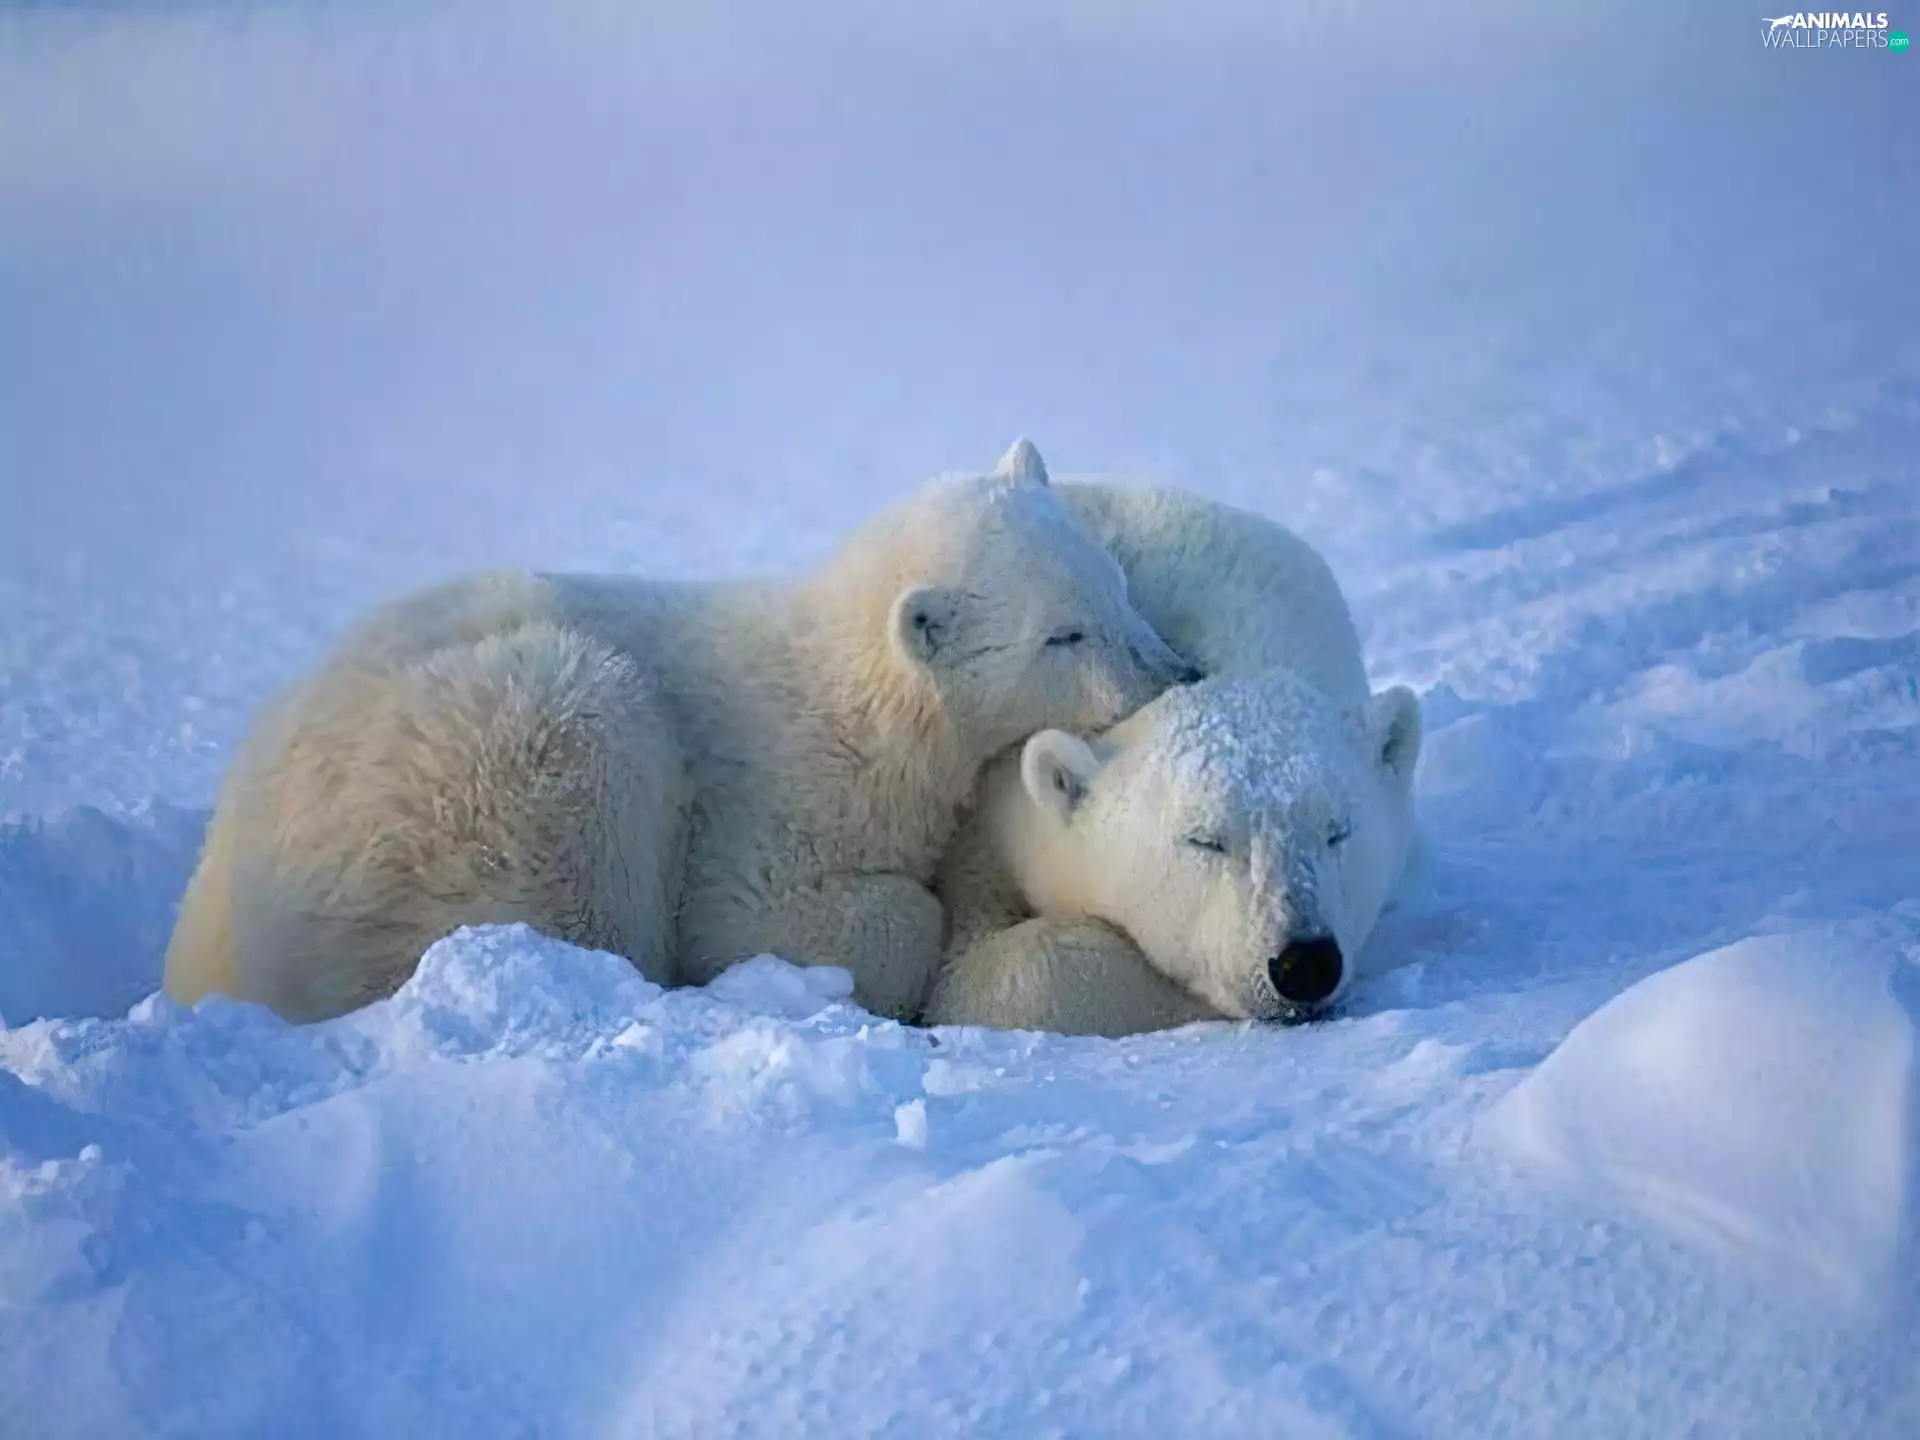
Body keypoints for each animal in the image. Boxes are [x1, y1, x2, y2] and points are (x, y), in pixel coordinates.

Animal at [162, 442, 1198, 1024]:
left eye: (1112, 581)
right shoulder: (775, 792)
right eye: (1062, 634)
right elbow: (782, 911)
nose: (1176, 669)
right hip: (475, 762)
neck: (859, 706)